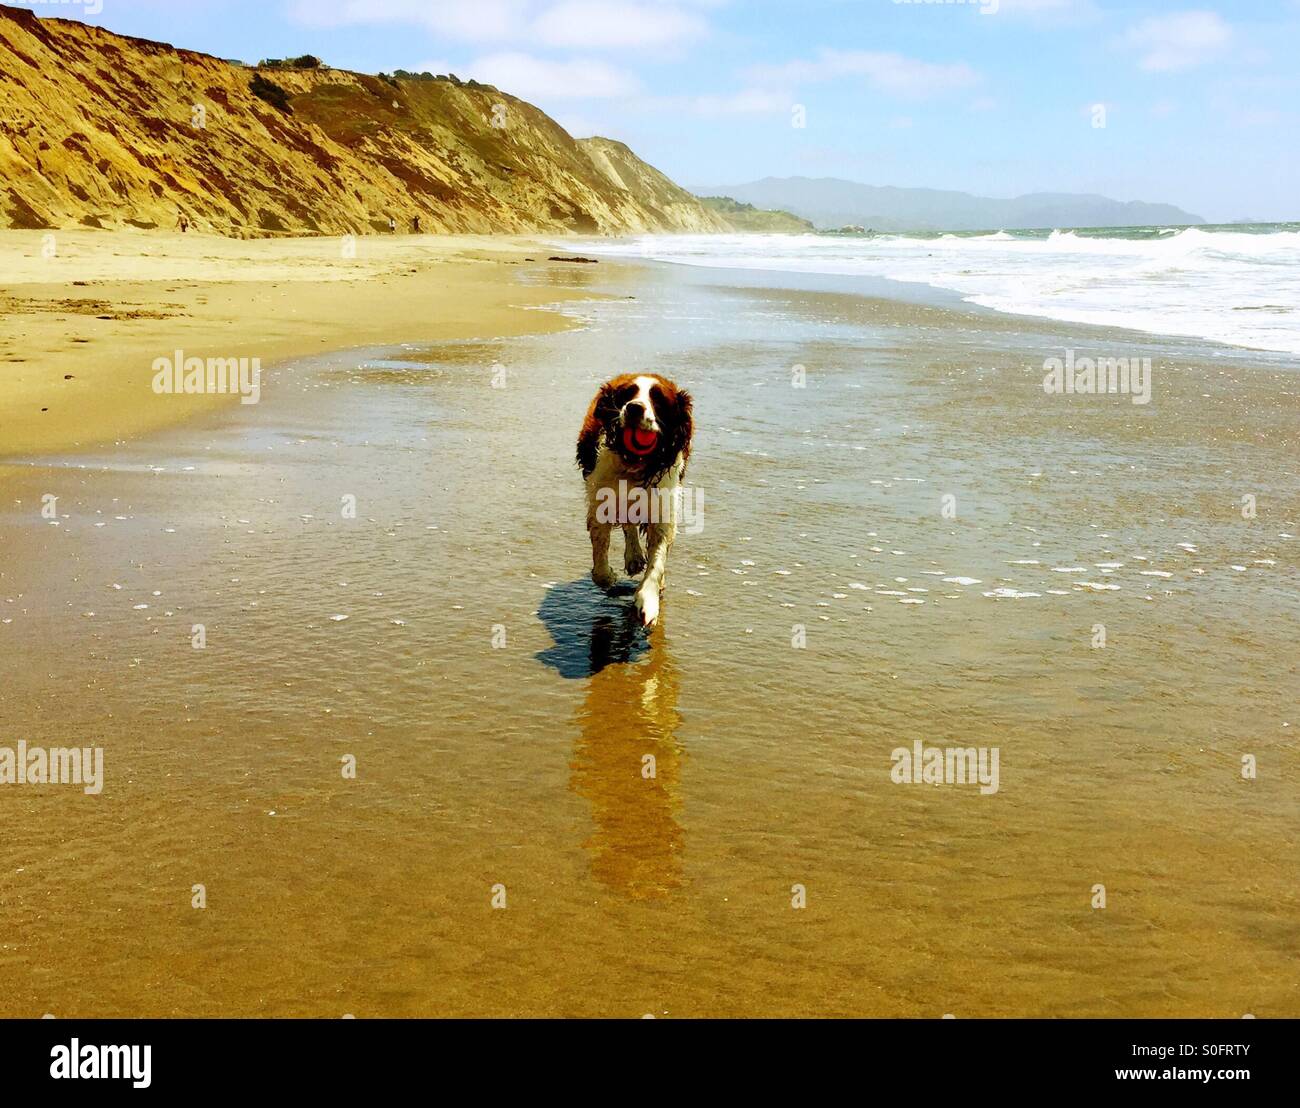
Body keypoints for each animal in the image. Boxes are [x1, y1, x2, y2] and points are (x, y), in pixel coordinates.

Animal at [579, 374, 696, 626]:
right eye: (627, 394)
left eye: (658, 398)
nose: (634, 408)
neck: (635, 462)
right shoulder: (601, 501)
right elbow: (600, 559)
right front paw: (608, 576)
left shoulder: (662, 507)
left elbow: (657, 562)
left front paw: (647, 601)